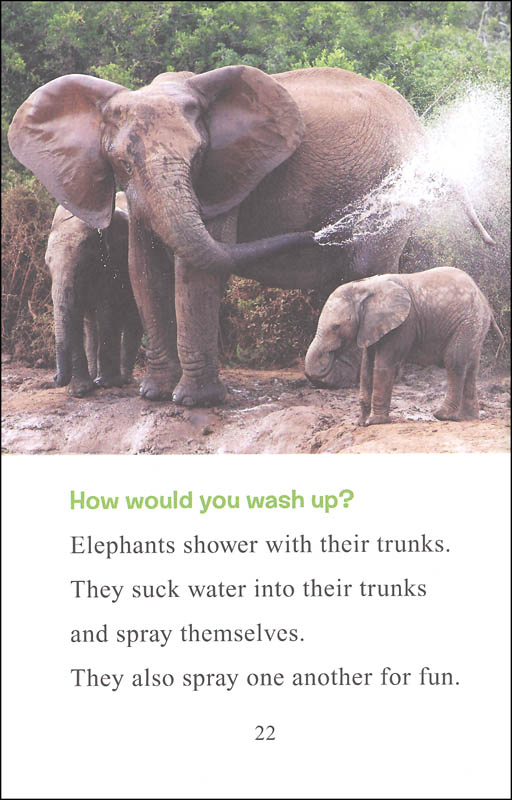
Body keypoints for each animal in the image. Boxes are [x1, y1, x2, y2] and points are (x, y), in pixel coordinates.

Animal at [45, 191, 142, 397]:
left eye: (83, 264)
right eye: (47, 265)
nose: (55, 378)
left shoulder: (114, 261)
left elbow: (107, 308)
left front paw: (105, 384)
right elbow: (76, 314)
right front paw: (80, 391)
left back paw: (123, 380)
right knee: (91, 324)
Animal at [305, 266, 504, 425]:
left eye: (336, 327)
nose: (330, 356)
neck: (365, 286)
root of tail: (484, 301)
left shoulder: (402, 325)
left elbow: (383, 365)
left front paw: (375, 422)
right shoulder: (371, 326)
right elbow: (366, 367)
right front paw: (360, 423)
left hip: (467, 323)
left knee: (454, 362)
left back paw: (442, 415)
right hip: (475, 325)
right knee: (471, 367)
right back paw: (467, 418)